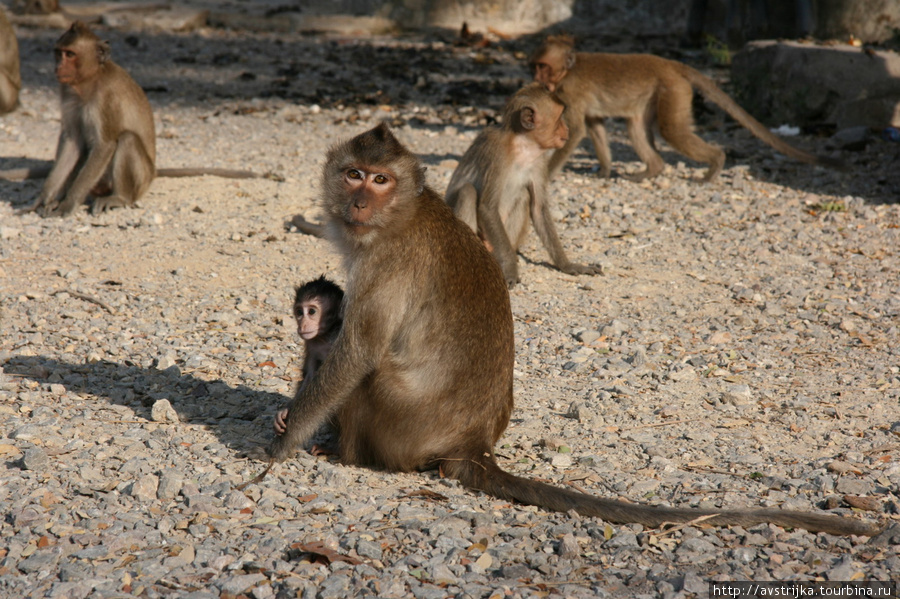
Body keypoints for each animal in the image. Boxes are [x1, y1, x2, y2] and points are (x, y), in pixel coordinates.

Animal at [272, 276, 342, 436]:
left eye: (311, 311)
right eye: (299, 312)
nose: (302, 324)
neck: (325, 336)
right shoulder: (311, 344)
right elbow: (310, 377)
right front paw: (285, 411)